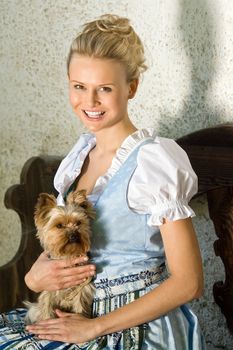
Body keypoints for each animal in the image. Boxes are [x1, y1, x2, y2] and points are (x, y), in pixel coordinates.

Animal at [24, 190, 94, 324]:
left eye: (78, 223)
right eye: (59, 225)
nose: (73, 236)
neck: (67, 255)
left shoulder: (82, 288)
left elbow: (79, 305)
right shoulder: (49, 290)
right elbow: (46, 309)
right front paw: (46, 321)